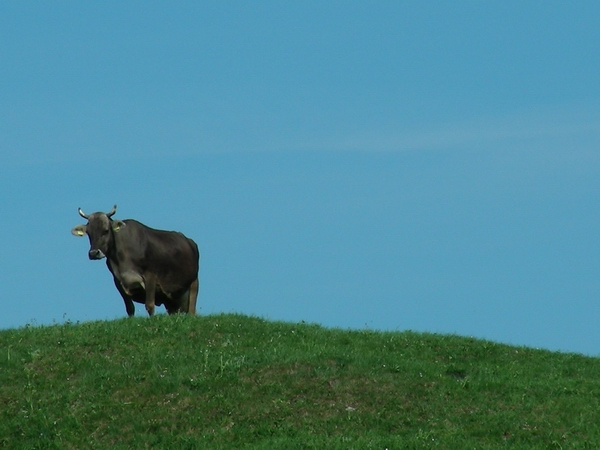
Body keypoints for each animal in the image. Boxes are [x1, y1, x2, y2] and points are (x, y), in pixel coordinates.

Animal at [71, 205, 200, 316]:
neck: (122, 260)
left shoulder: (151, 276)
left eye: (106, 230)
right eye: (88, 233)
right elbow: (130, 308)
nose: (93, 253)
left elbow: (150, 305)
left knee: (192, 310)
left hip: (193, 282)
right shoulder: (118, 281)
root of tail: (189, 241)